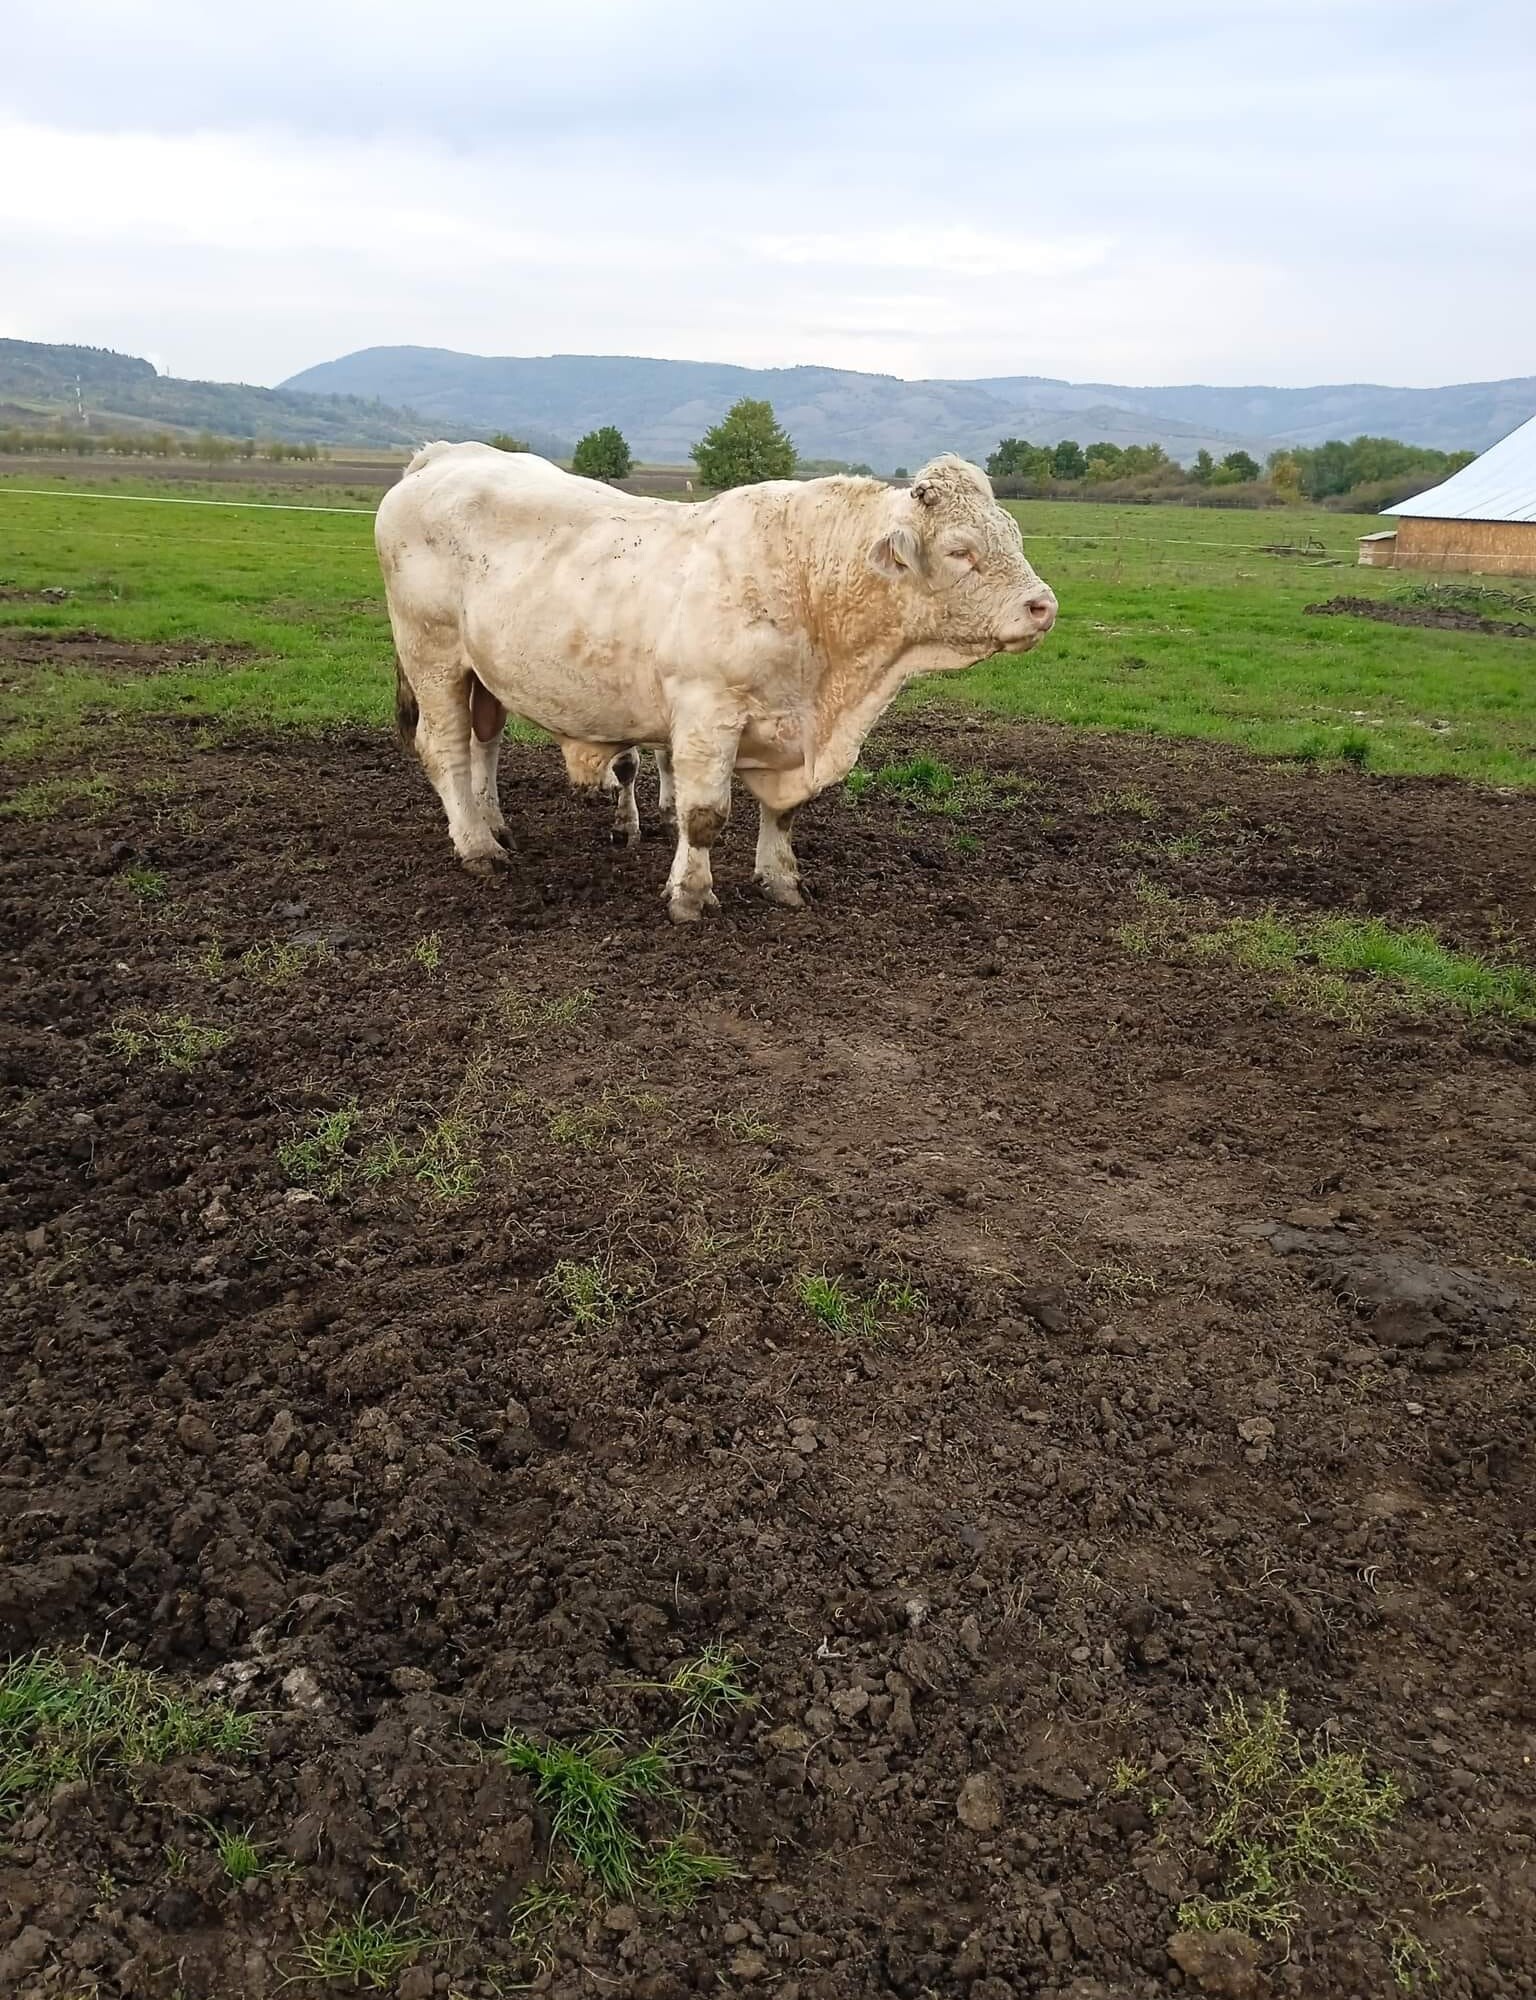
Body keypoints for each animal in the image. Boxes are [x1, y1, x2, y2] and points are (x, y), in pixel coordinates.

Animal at [376, 444, 1056, 922]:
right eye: (962, 550)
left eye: (1014, 535)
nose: (1043, 606)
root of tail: (446, 455)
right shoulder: (707, 712)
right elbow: (703, 815)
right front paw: (690, 895)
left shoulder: (788, 728)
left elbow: (784, 812)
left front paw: (782, 879)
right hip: (432, 653)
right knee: (445, 748)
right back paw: (476, 848)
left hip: (483, 671)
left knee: (483, 744)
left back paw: (494, 825)